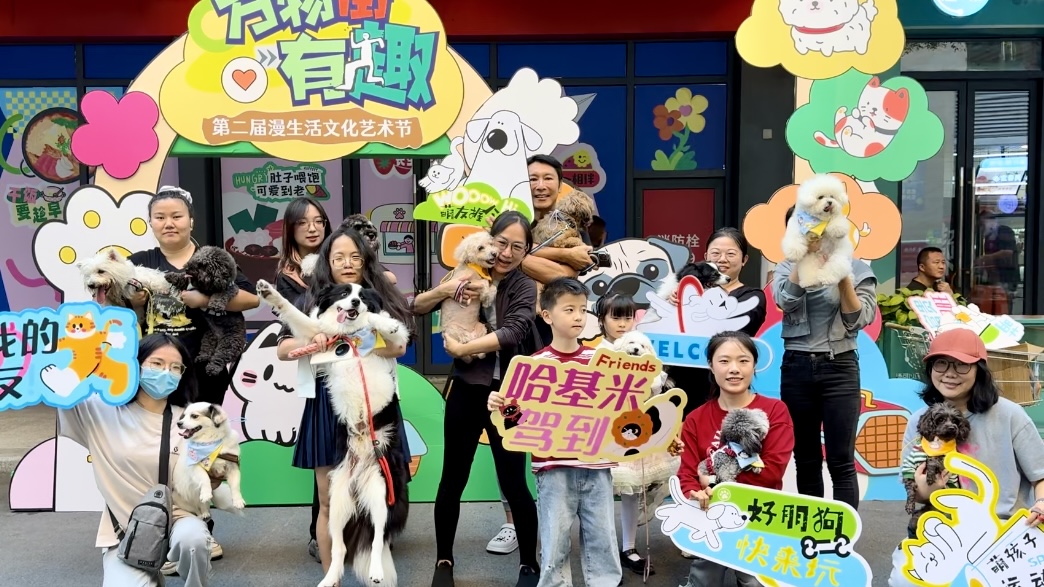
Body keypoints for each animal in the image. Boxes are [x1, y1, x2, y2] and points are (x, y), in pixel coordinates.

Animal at [164, 246, 248, 376]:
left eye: (202, 265)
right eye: (195, 259)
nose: (187, 268)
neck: (209, 288)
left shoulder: (231, 288)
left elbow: (222, 293)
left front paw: (215, 304)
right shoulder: (189, 282)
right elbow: (182, 278)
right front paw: (172, 275)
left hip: (230, 342)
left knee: (220, 357)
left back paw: (213, 368)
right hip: (209, 336)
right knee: (207, 349)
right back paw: (202, 357)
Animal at [255, 279, 409, 587]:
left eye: (363, 297)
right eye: (343, 293)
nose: (355, 304)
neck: (348, 337)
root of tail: (360, 474)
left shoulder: (394, 340)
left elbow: (382, 324)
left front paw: (382, 322)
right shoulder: (319, 334)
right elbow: (294, 314)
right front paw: (268, 293)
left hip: (380, 493)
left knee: (377, 539)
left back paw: (376, 572)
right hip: (337, 501)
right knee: (339, 548)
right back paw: (329, 578)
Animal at [439, 231, 498, 363]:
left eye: (491, 244)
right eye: (480, 248)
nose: (494, 253)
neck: (475, 268)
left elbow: (493, 287)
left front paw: (487, 299)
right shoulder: (464, 282)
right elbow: (484, 283)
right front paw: (485, 294)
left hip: (481, 327)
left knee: (478, 352)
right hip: (452, 329)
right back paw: (464, 339)